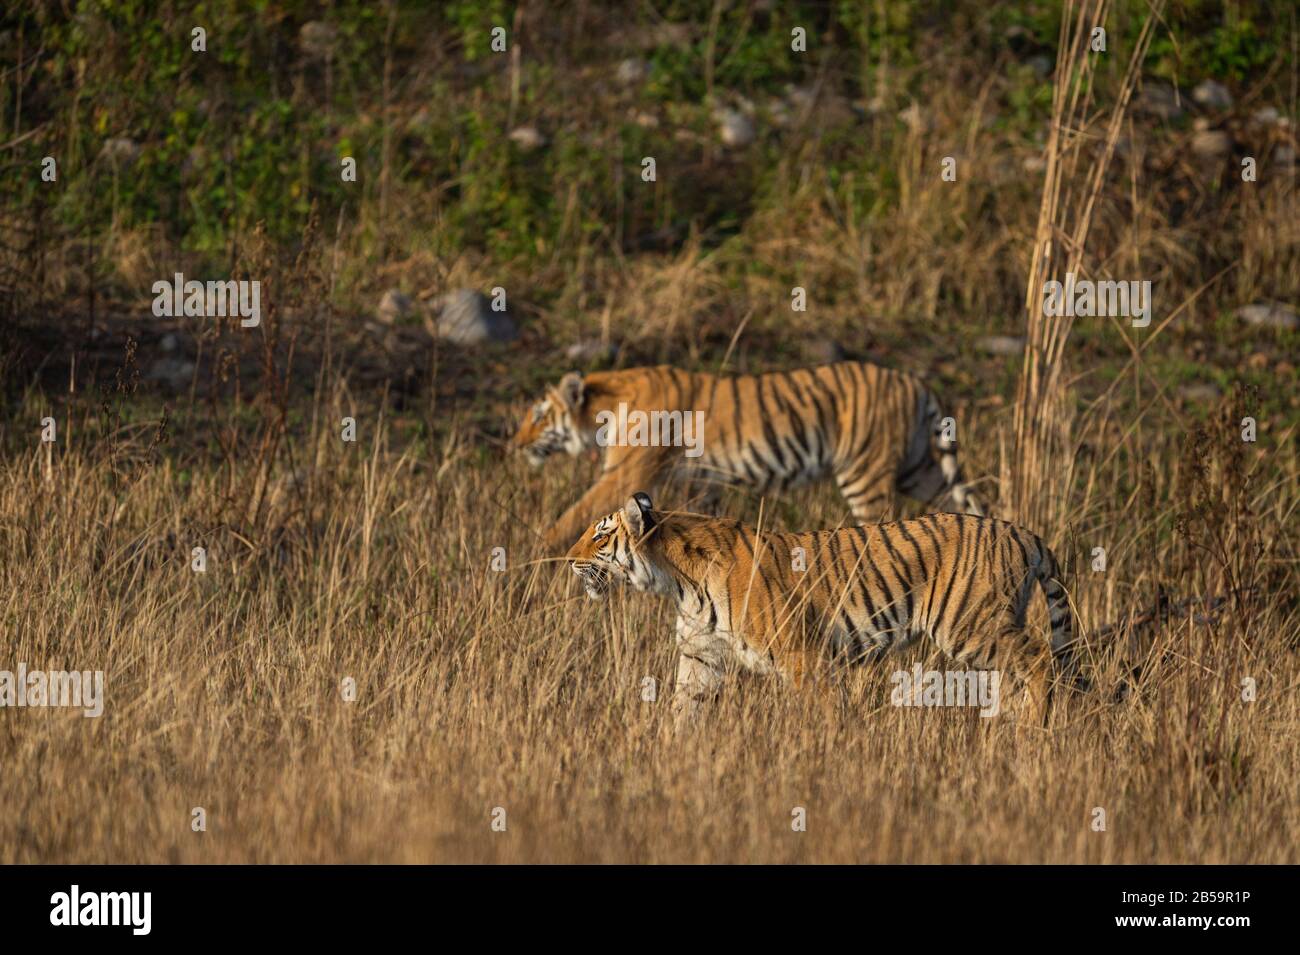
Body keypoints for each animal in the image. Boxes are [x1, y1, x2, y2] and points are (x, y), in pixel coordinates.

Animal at [512, 361, 977, 553]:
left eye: (538, 415)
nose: (514, 445)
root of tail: (915, 382)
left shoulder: (625, 473)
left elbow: (571, 516)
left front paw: (531, 556)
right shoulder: (700, 484)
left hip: (867, 473)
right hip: (919, 469)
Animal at [569, 493, 1086, 722]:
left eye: (600, 534)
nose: (569, 559)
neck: (678, 581)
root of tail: (1022, 531)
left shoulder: (803, 654)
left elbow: (816, 711)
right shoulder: (702, 655)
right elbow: (682, 708)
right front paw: (669, 754)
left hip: (971, 624)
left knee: (1040, 659)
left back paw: (1029, 731)